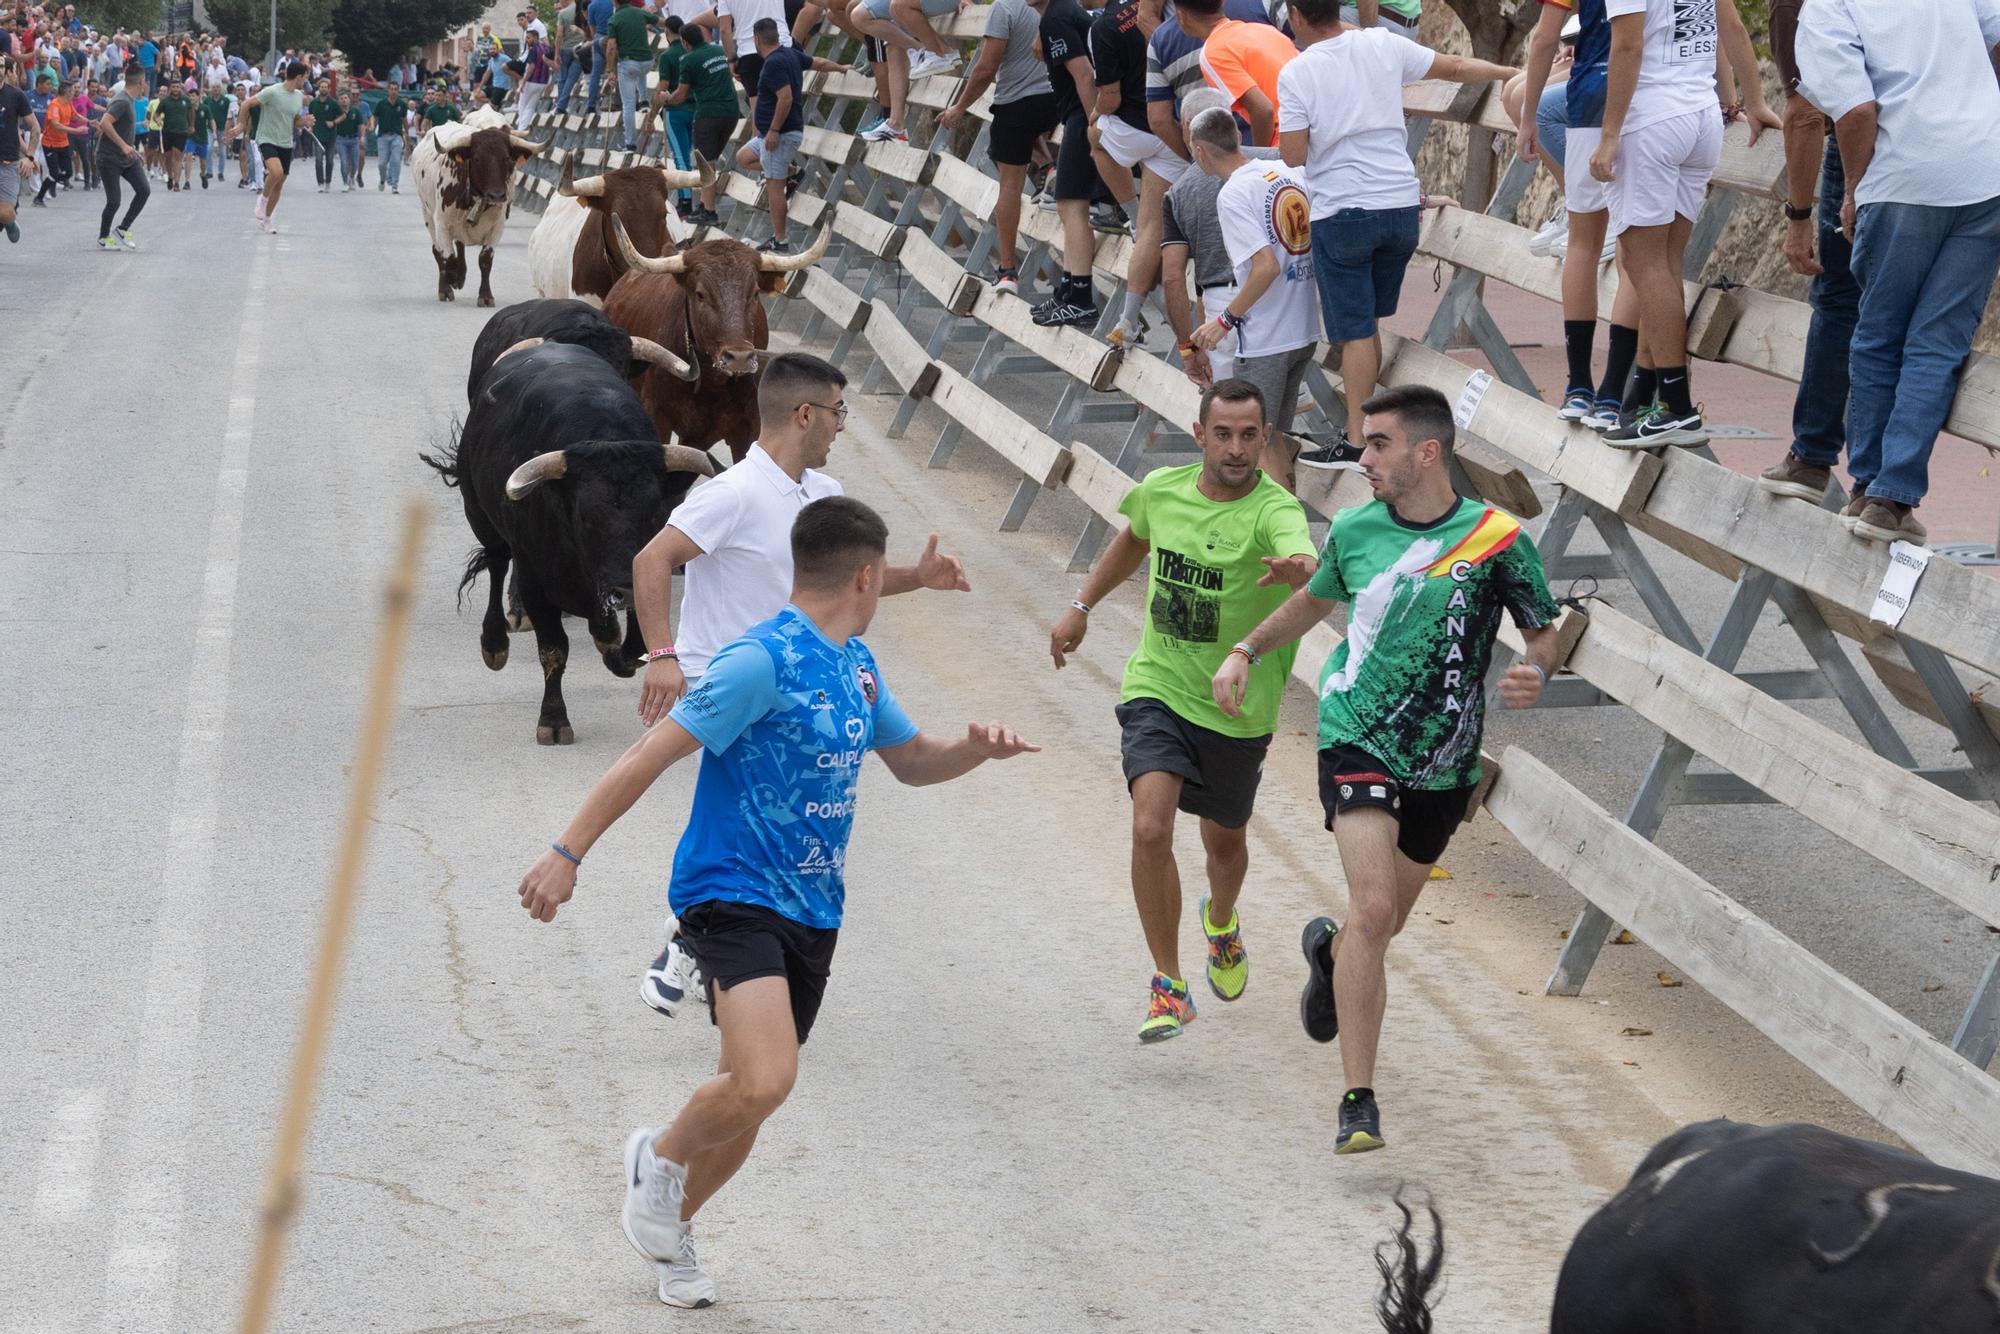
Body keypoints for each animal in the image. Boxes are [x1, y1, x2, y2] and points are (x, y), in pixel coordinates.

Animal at [418, 340, 716, 748]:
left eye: (656, 515)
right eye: (585, 518)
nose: (624, 589)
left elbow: (635, 646)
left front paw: (616, 649)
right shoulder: (535, 582)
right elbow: (554, 649)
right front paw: (554, 719)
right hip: (480, 516)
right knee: (496, 563)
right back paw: (494, 643)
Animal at [604, 210, 832, 460]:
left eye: (755, 293)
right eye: (700, 294)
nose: (739, 358)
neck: (712, 385)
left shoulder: (744, 429)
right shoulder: (657, 415)